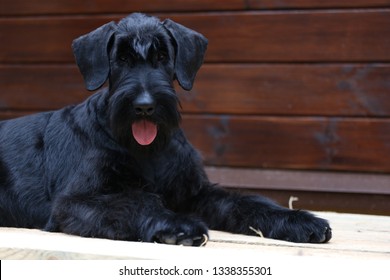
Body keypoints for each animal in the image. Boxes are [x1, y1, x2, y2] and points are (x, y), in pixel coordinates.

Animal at [0, 13, 332, 245]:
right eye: (121, 59)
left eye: (163, 57)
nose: (145, 106)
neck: (147, 149)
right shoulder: (75, 201)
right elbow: (135, 201)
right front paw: (177, 226)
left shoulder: (195, 193)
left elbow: (245, 201)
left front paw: (298, 221)